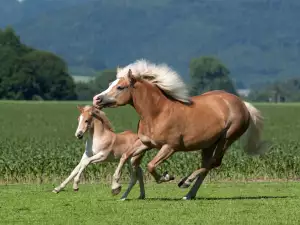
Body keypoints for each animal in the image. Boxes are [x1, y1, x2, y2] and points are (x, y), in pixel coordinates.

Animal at [92, 59, 266, 199]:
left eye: (120, 87)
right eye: (110, 84)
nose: (96, 99)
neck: (157, 112)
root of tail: (243, 104)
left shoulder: (170, 147)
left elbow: (151, 165)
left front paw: (166, 177)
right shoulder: (145, 143)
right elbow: (125, 156)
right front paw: (115, 187)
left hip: (227, 139)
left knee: (214, 163)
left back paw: (185, 182)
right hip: (208, 144)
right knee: (208, 164)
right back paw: (189, 194)